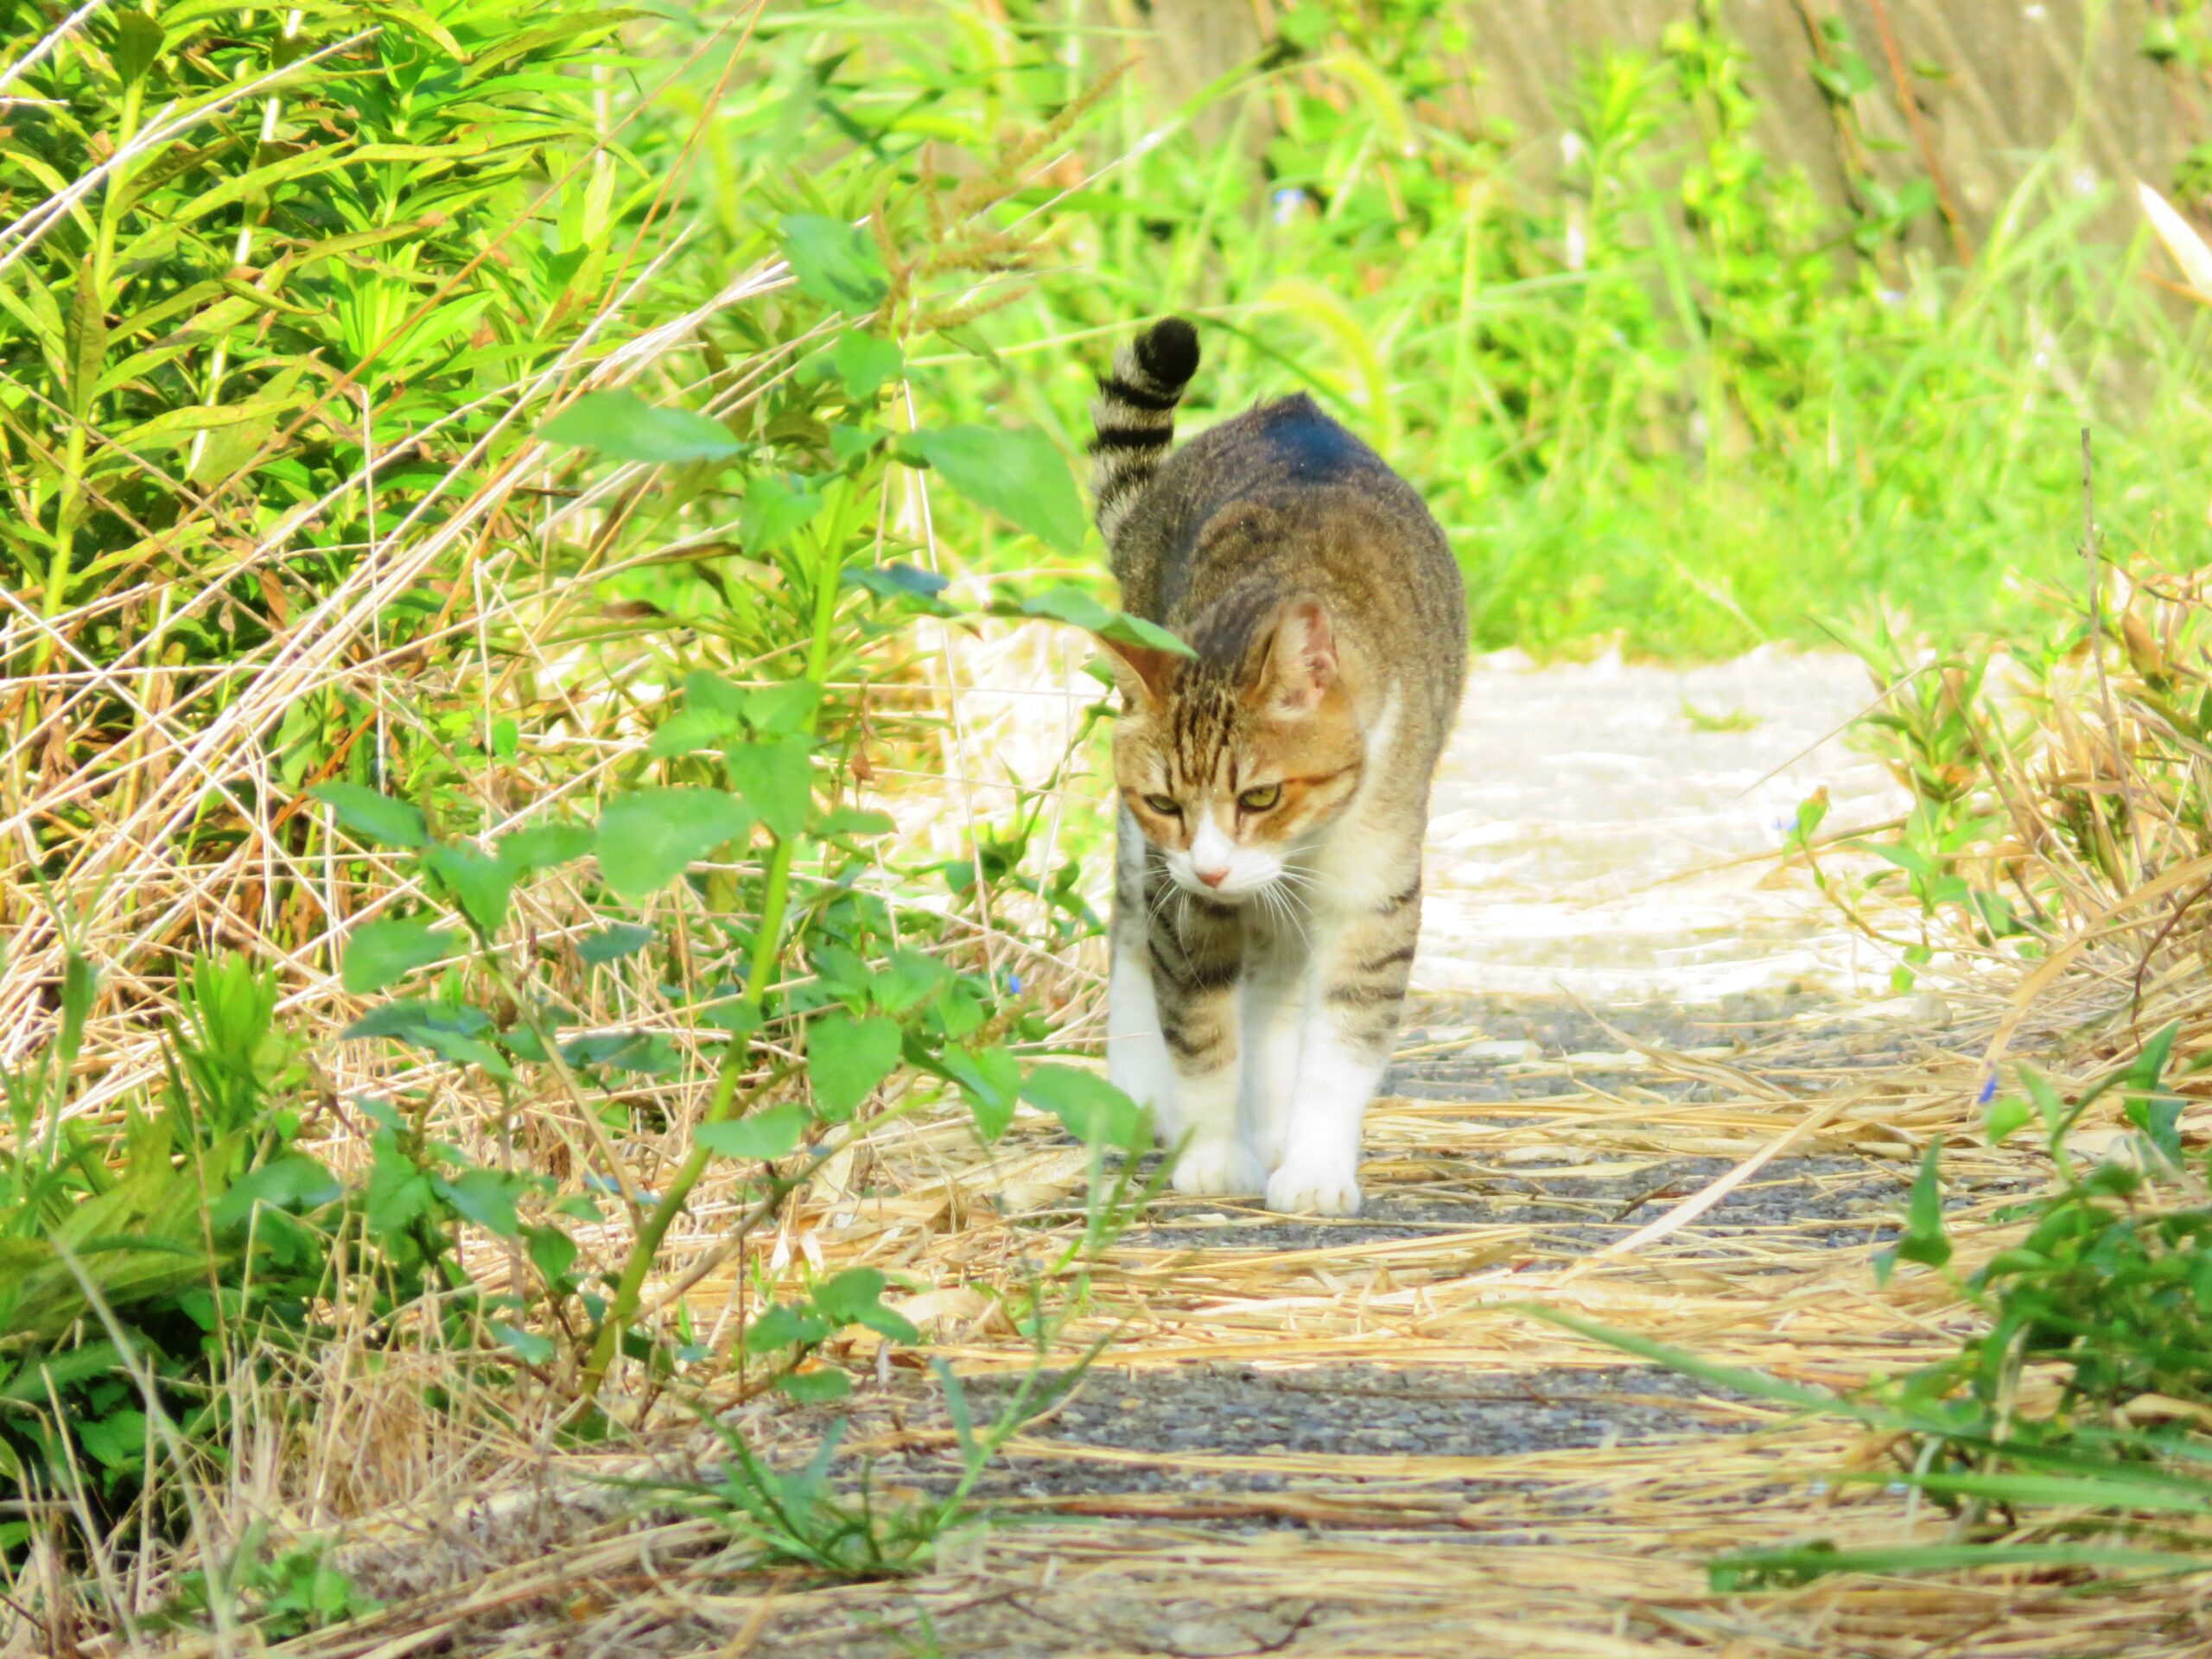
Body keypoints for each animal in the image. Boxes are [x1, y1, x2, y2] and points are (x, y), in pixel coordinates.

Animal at [1088, 314, 1468, 1221]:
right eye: (1166, 802)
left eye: (1261, 796)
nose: (1214, 869)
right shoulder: (1183, 907)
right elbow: (1201, 1038)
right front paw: (1213, 1154)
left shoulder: (1373, 895)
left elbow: (1341, 1044)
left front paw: (1316, 1165)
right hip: (1144, 874)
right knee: (1130, 936)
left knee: (1276, 1001)